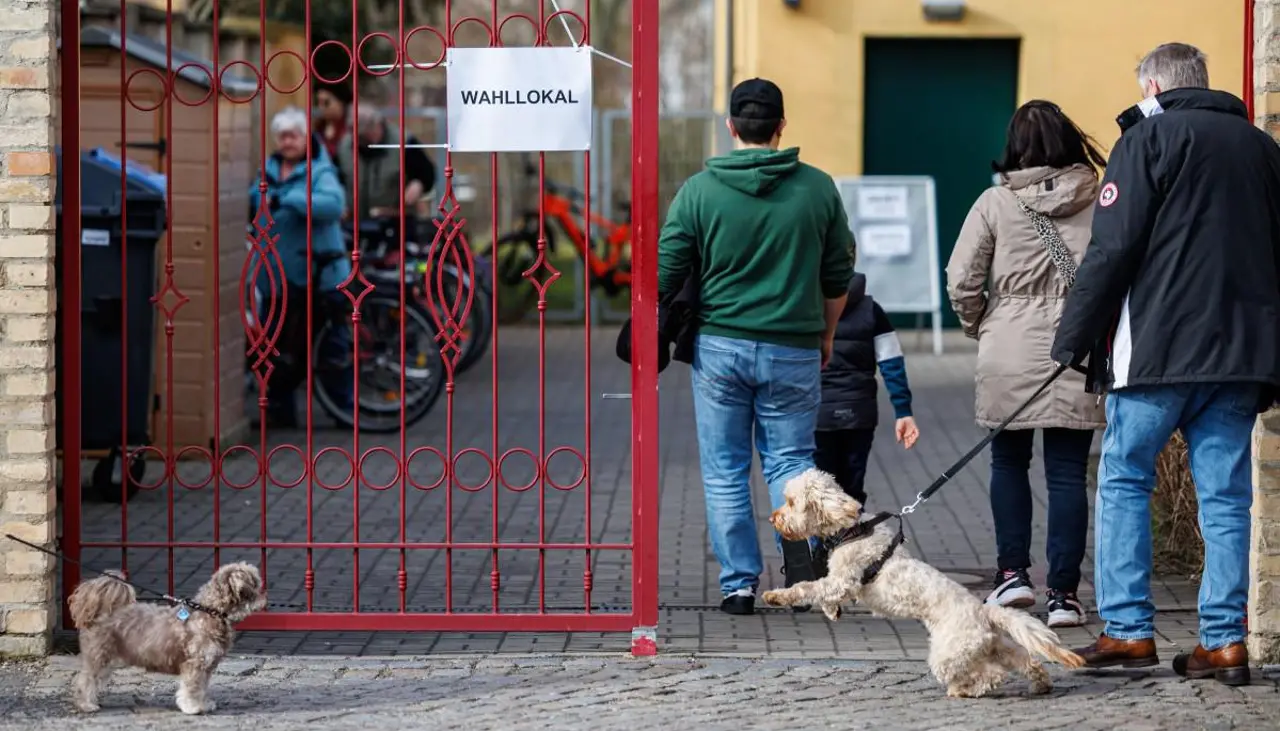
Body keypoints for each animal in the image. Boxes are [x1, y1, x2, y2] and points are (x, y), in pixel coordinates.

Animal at [762, 468, 1085, 696]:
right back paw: (1040, 684)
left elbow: (808, 588)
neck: (851, 530)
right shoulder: (840, 583)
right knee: (1026, 660)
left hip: (949, 653)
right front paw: (832, 611)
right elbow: (825, 594)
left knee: (991, 676)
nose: (772, 518)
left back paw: (963, 690)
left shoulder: (842, 579)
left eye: (792, 502)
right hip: (993, 646)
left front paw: (775, 596)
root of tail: (984, 612)